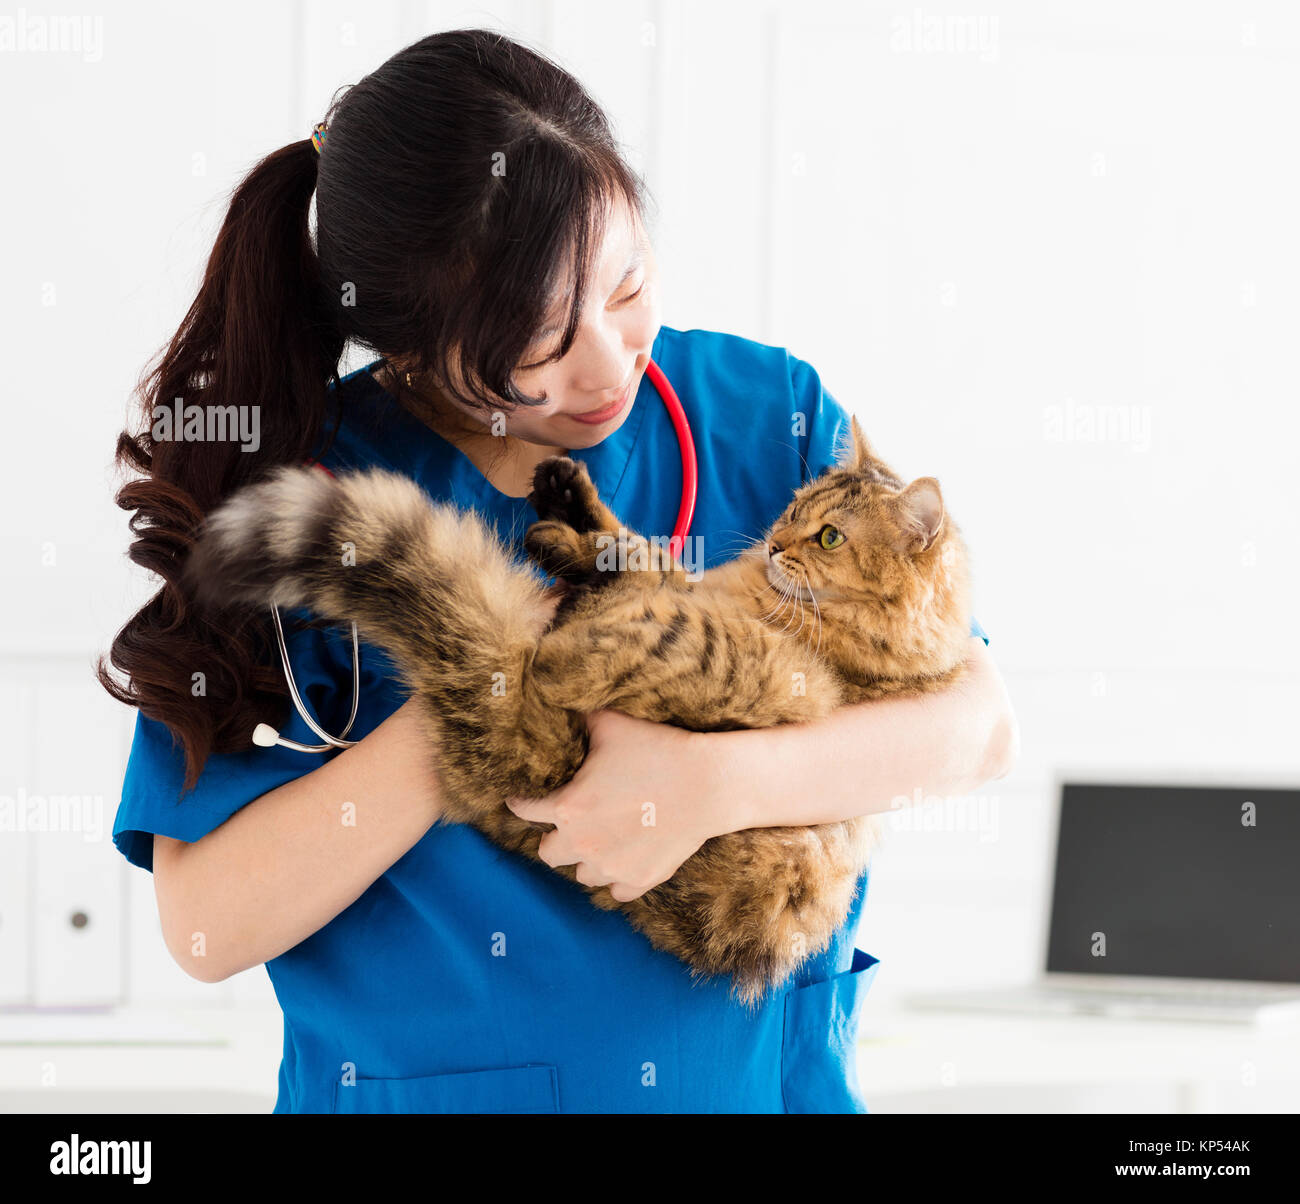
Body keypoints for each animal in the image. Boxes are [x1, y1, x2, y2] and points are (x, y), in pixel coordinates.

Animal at [183, 418, 977, 1003]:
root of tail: (526, 755)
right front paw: (567, 502)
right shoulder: (698, 583)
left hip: (762, 678)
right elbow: (633, 540)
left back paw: (554, 601)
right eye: (792, 512)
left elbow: (631, 565)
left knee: (593, 630)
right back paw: (558, 521)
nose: (775, 542)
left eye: (830, 537)